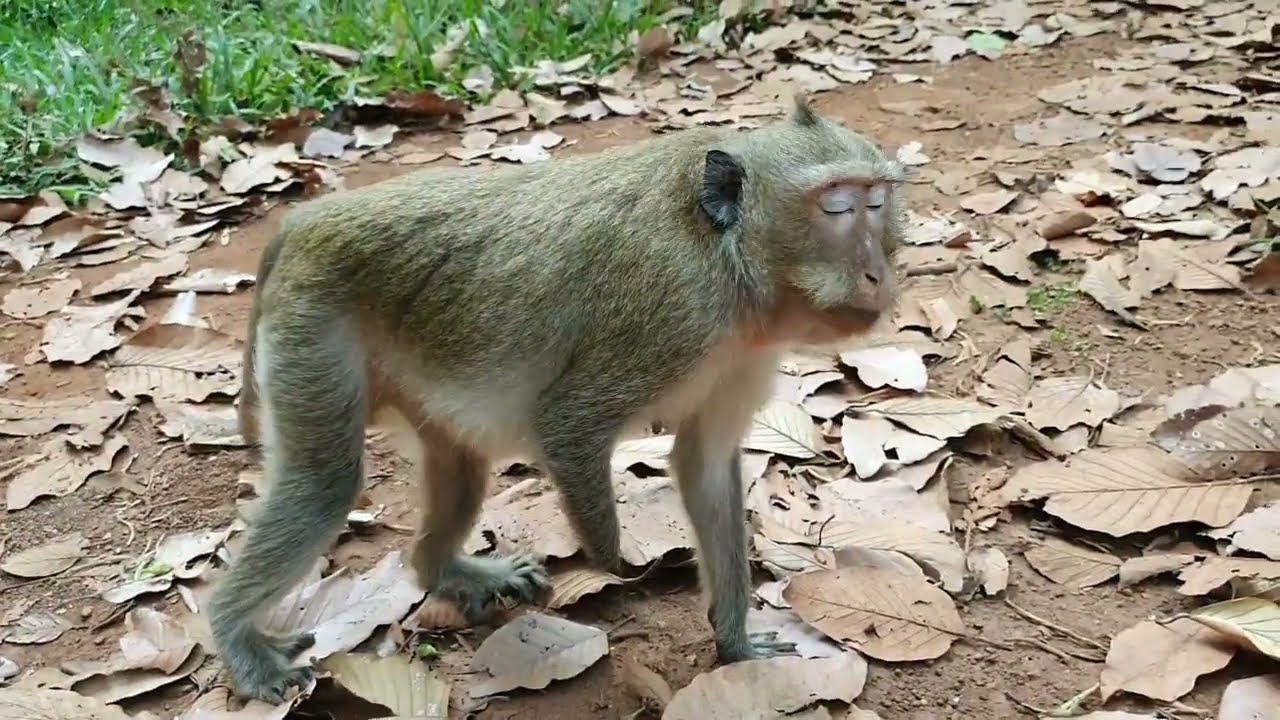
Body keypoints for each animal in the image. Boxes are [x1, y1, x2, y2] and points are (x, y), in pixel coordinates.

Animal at [210, 93, 908, 704]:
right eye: (837, 208)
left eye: (878, 202)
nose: (878, 273)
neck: (726, 255)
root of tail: (305, 222)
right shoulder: (672, 314)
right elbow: (569, 424)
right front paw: (618, 565)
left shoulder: (743, 353)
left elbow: (705, 463)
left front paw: (734, 642)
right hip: (313, 334)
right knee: (325, 484)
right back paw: (234, 633)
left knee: (459, 463)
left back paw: (442, 569)